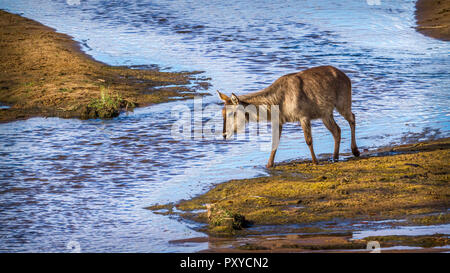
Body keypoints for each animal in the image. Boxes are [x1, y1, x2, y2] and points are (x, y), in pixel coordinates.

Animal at [216, 66, 360, 168]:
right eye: (222, 113)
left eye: (231, 113)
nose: (224, 134)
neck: (278, 101)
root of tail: (346, 77)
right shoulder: (278, 121)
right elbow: (274, 142)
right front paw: (268, 165)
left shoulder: (303, 116)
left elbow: (308, 140)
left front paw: (315, 162)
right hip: (325, 114)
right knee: (337, 130)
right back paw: (335, 157)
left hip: (342, 104)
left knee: (352, 118)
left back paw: (355, 151)